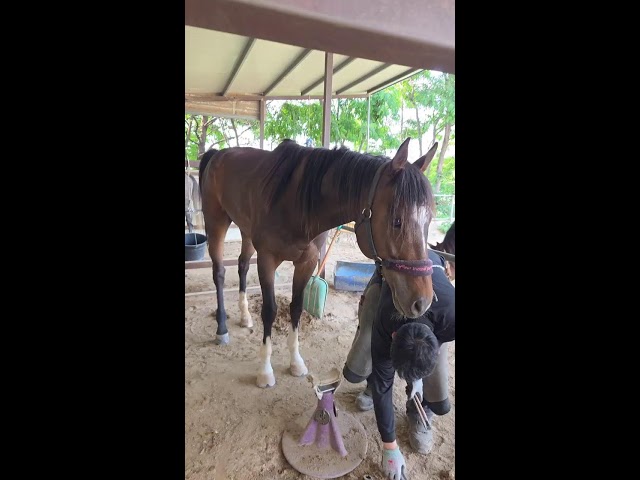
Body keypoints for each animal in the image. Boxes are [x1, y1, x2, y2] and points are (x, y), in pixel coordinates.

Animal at [198, 138, 439, 388]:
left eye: (429, 220)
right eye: (396, 221)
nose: (422, 302)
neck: (297, 203)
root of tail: (218, 154)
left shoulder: (307, 261)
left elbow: (296, 307)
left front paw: (295, 362)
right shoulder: (267, 259)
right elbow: (269, 310)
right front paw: (265, 371)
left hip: (245, 231)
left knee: (243, 266)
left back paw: (245, 316)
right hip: (216, 223)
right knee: (219, 273)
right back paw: (222, 329)